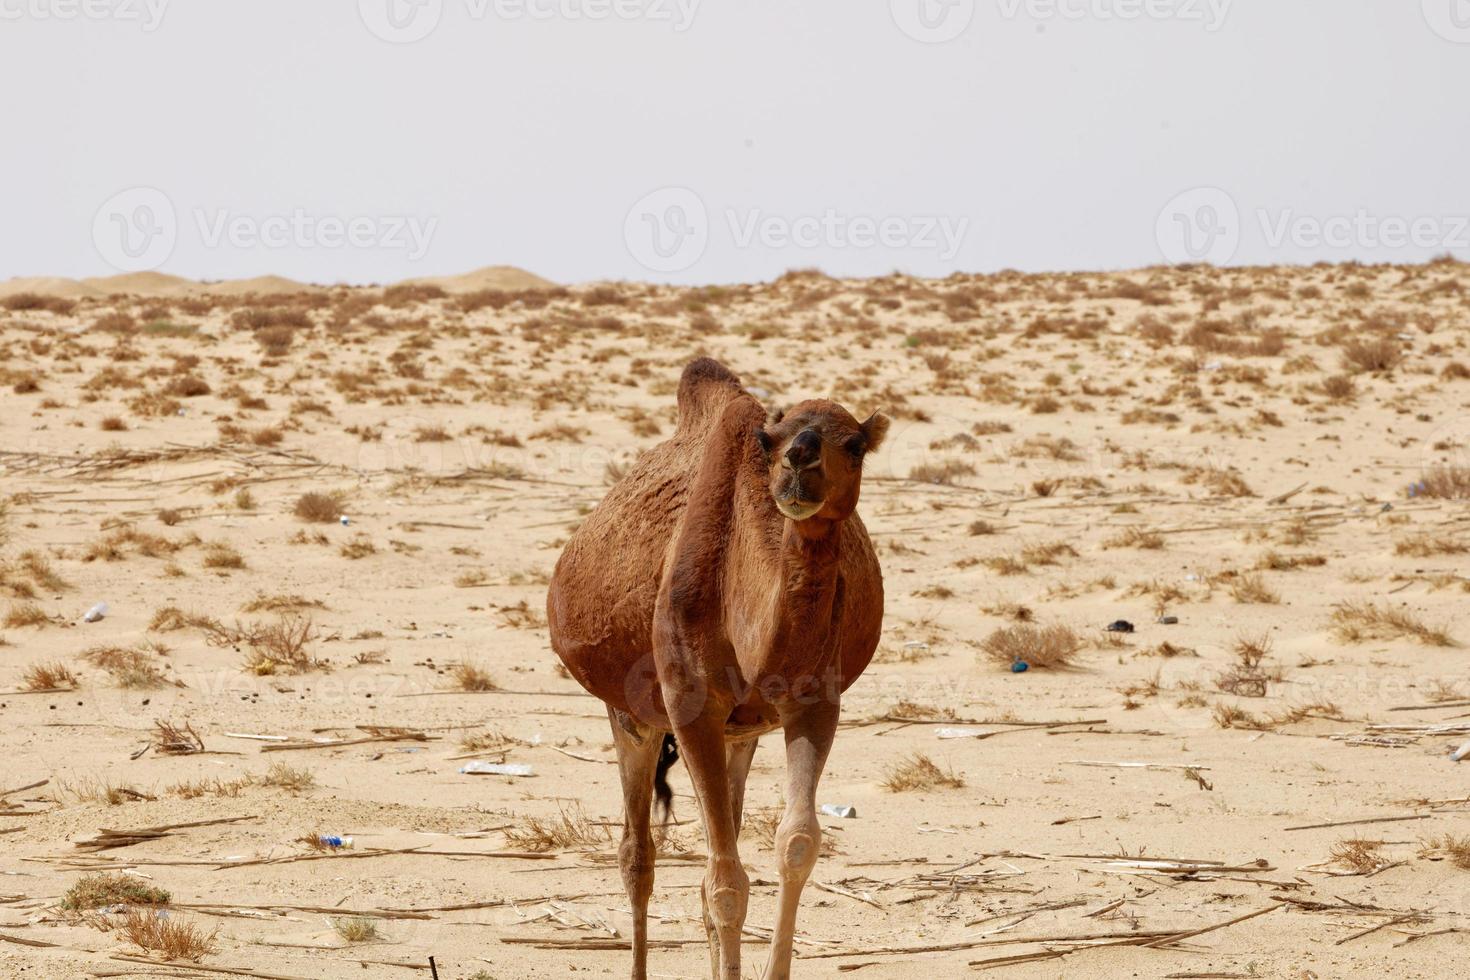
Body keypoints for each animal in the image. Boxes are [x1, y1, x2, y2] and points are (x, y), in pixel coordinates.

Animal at [549, 359, 882, 980]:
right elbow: (725, 882)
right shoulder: (690, 704)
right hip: (630, 713)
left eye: (854, 445)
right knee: (638, 855)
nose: (799, 461)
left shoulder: (814, 700)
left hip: (741, 733)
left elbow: (796, 843)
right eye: (769, 441)